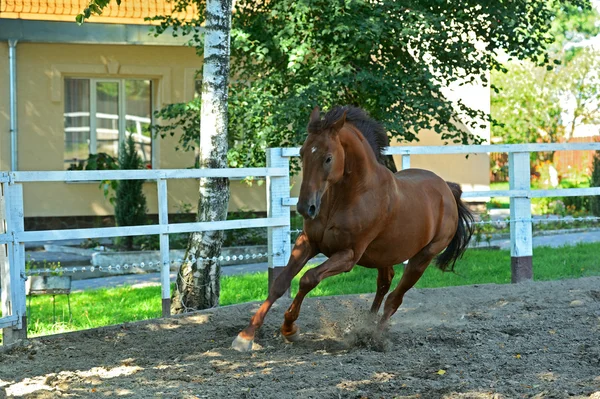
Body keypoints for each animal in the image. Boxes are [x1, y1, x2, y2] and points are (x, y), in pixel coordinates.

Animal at [233, 106, 474, 354]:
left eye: (328, 158)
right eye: (301, 153)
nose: (305, 207)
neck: (348, 196)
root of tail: (448, 190)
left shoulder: (348, 255)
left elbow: (308, 279)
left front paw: (290, 329)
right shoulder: (307, 242)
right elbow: (280, 283)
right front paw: (246, 335)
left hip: (422, 258)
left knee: (394, 298)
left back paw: (374, 337)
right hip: (384, 255)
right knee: (385, 282)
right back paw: (365, 325)